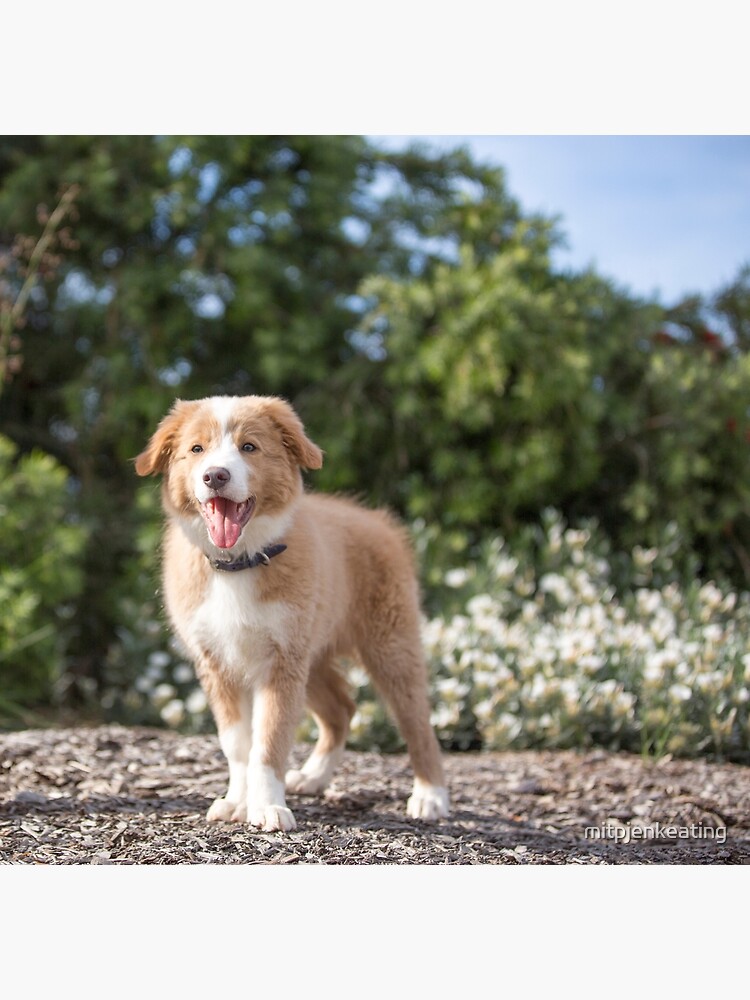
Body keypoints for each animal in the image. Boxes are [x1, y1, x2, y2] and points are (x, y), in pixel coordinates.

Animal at [134, 394, 450, 832]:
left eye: (249, 447)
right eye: (196, 449)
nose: (215, 476)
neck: (240, 562)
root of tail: (379, 521)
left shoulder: (282, 661)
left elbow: (270, 738)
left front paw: (267, 806)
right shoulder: (219, 661)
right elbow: (238, 744)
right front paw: (238, 801)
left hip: (390, 644)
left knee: (417, 719)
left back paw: (430, 794)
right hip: (313, 655)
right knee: (341, 710)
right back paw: (315, 777)